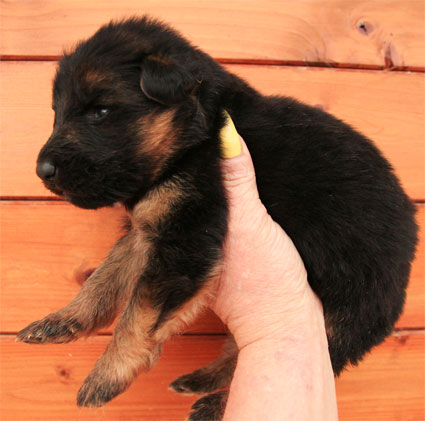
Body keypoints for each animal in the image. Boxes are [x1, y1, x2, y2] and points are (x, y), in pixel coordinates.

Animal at [17, 16, 418, 420]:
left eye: (100, 112)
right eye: (58, 113)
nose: (41, 171)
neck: (196, 136)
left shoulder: (189, 231)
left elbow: (138, 313)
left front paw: (108, 374)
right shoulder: (150, 228)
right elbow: (104, 278)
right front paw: (65, 320)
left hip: (348, 311)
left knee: (323, 358)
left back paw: (214, 405)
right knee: (240, 351)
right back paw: (201, 381)